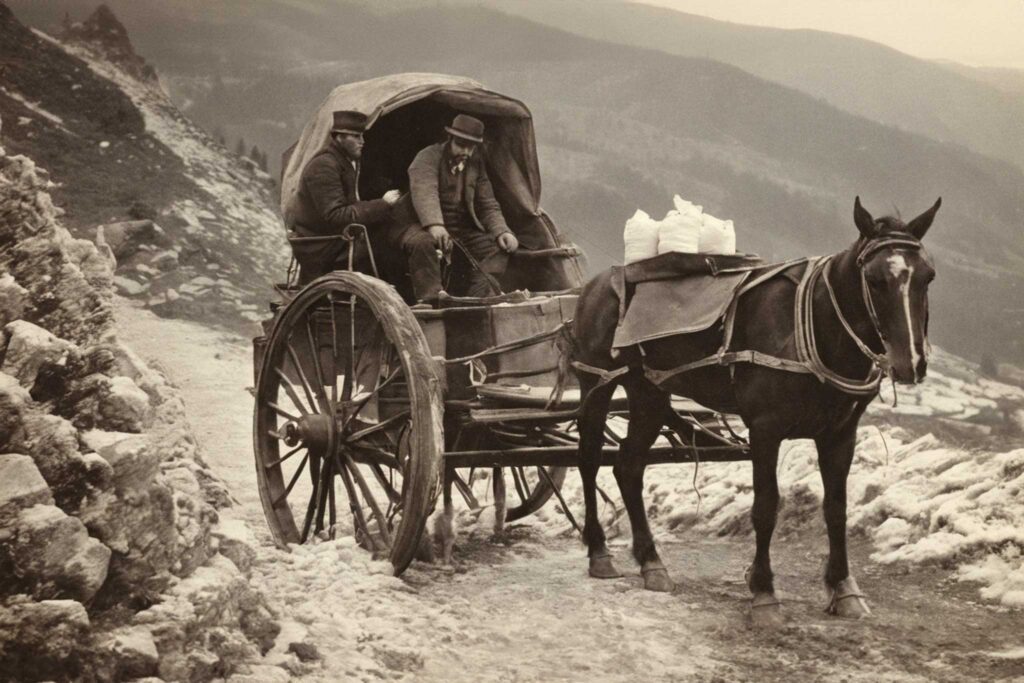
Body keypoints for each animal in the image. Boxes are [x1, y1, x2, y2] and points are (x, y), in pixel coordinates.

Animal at [573, 197, 937, 626]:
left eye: (928, 276)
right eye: (876, 279)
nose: (910, 363)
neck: (813, 325)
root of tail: (595, 284)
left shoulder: (840, 434)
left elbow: (836, 509)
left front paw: (843, 587)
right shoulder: (766, 429)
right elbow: (765, 508)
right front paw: (763, 591)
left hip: (649, 394)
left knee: (628, 468)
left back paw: (651, 562)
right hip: (596, 384)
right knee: (588, 460)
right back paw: (599, 551)